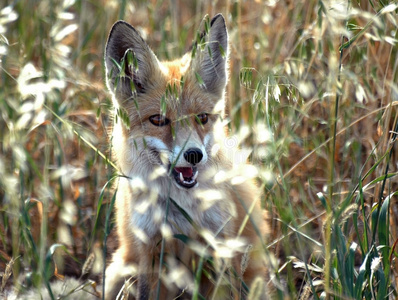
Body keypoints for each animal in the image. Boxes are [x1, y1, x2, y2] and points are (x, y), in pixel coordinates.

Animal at [104, 14, 268, 300]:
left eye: (201, 118)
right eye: (158, 120)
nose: (193, 155)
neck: (181, 211)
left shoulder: (221, 246)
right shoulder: (150, 250)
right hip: (117, 272)